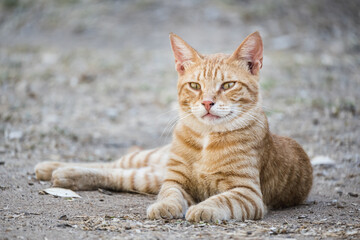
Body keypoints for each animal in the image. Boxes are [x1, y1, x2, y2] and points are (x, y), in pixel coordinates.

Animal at [35, 31, 314, 221]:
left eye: (227, 85)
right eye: (195, 86)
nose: (207, 102)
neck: (206, 140)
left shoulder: (247, 193)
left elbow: (222, 200)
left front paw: (202, 209)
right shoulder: (175, 181)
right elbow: (170, 195)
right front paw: (165, 206)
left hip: (150, 177)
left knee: (121, 174)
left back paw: (64, 174)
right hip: (154, 163)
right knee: (116, 163)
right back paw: (52, 167)